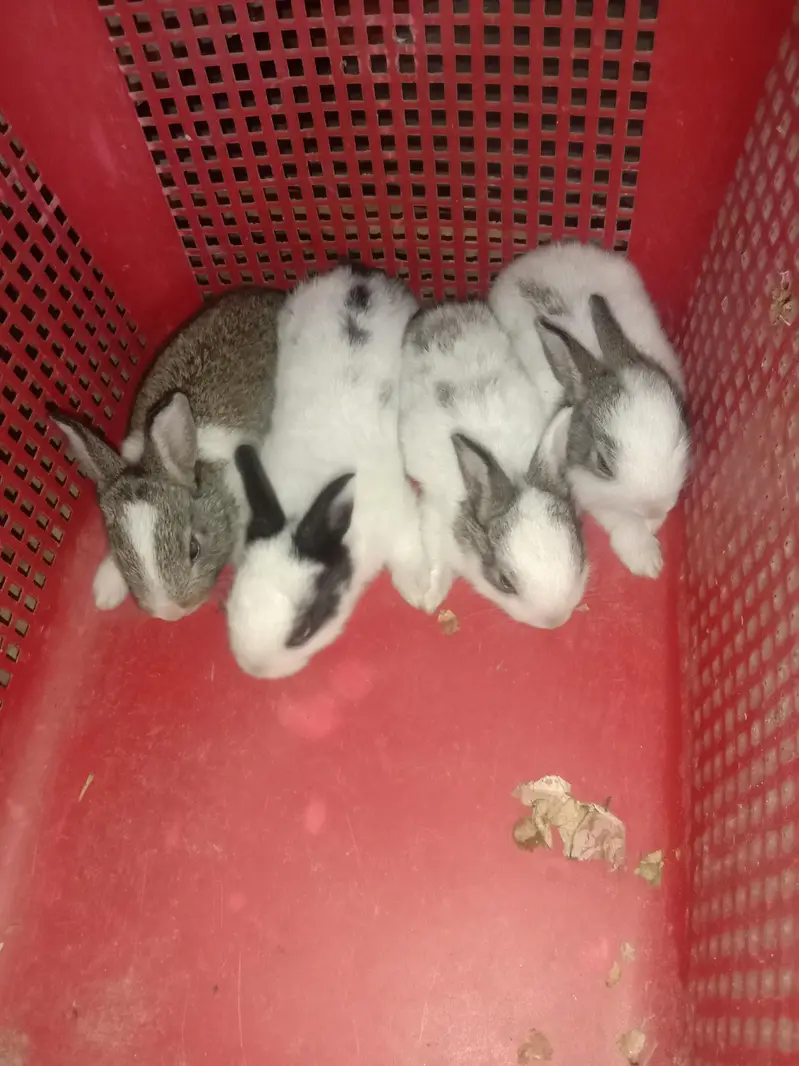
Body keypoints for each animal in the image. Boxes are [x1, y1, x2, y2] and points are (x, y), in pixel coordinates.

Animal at [226, 263, 428, 679]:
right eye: (233, 601)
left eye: (303, 631)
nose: (254, 670)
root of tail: (359, 275)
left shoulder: (398, 514)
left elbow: (408, 550)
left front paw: (421, 592)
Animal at [399, 299, 588, 629]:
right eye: (505, 582)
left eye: (579, 556)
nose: (555, 621)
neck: (513, 471)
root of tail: (443, 310)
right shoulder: (434, 520)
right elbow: (437, 564)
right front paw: (429, 599)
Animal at [489, 240, 690, 579]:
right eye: (604, 464)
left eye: (679, 436)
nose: (655, 507)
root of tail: (537, 256)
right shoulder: (589, 489)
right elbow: (619, 517)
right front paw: (647, 559)